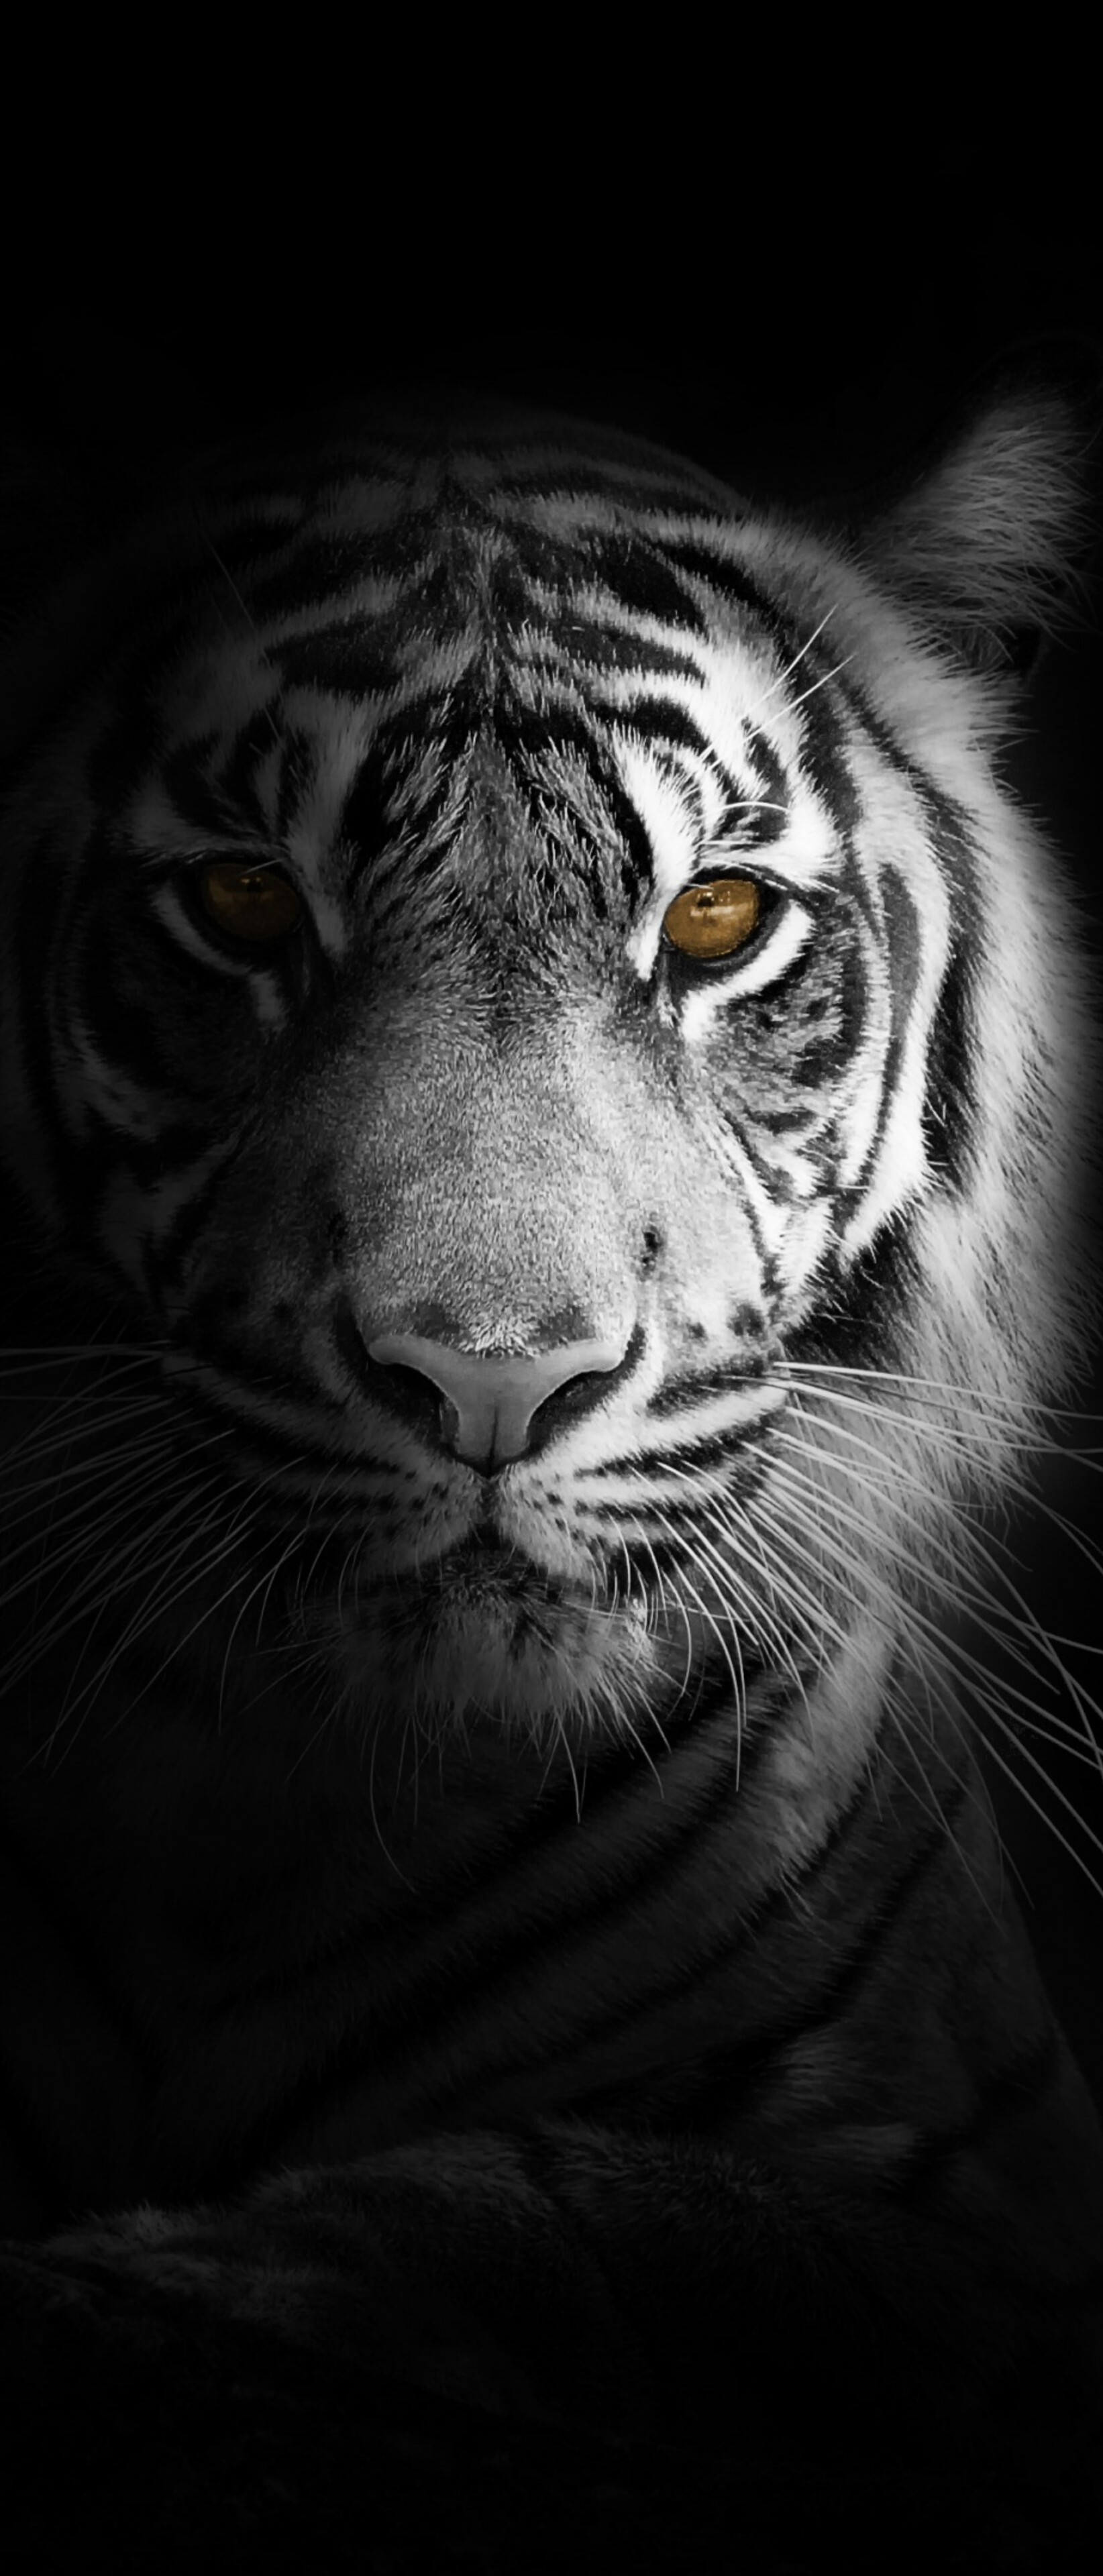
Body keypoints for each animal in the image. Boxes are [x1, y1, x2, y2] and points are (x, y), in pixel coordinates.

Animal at [0, 378, 1101, 2562]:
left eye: (713, 917)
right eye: (241, 902)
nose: (491, 1376)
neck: (280, 1806)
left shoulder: (1004, 2235)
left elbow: (613, 2223)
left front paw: (182, 2274)